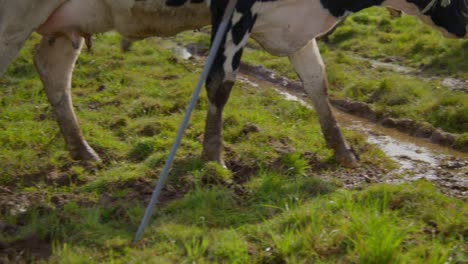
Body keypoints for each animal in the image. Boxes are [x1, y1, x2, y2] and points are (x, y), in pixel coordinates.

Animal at [0, 0, 468, 168]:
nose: (466, 23)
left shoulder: (294, 25)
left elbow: (317, 83)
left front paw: (343, 151)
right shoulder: (236, 10)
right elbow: (220, 83)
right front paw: (213, 160)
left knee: (54, 69)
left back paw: (85, 152)